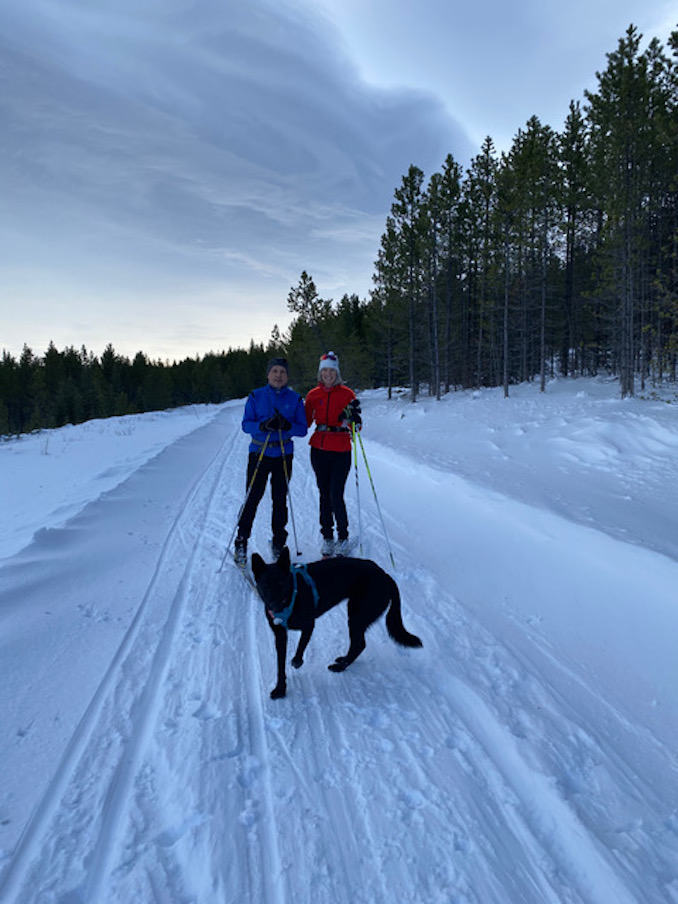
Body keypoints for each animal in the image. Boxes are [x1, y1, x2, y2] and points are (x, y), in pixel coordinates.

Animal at [251, 544, 420, 700]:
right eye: (265, 585)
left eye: (281, 583)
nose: (273, 606)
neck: (293, 597)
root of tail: (385, 575)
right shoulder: (280, 636)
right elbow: (280, 666)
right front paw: (280, 689)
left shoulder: (309, 625)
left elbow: (300, 646)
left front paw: (297, 661)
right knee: (358, 644)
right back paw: (343, 660)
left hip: (357, 616)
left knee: (359, 644)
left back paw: (339, 667)